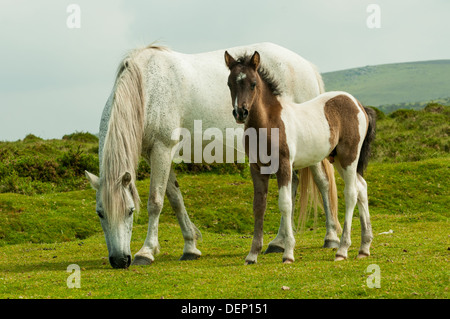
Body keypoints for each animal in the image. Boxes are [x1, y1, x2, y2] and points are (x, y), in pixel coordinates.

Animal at [84, 41, 340, 268]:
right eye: (99, 213)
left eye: (130, 211)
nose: (119, 261)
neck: (147, 87)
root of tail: (306, 65)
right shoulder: (156, 153)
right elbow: (175, 198)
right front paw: (190, 246)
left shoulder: (162, 149)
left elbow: (155, 202)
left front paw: (146, 252)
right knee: (294, 183)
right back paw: (278, 242)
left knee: (323, 182)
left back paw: (331, 237)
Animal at [225, 51, 376, 264]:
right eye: (230, 83)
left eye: (253, 83)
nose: (241, 112)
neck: (269, 122)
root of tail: (359, 105)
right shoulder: (257, 168)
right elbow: (259, 206)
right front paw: (252, 255)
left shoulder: (284, 165)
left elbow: (286, 204)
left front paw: (288, 253)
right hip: (338, 159)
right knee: (362, 188)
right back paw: (364, 248)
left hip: (349, 158)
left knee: (351, 193)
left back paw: (342, 250)